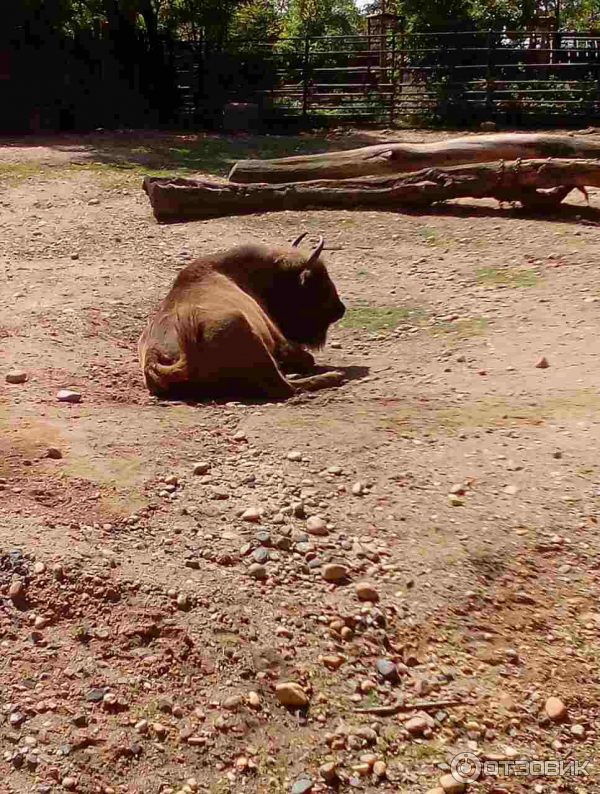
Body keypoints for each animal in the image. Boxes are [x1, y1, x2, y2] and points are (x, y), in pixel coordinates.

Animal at [139, 232, 346, 400]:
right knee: (287, 387)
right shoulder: (280, 340)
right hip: (243, 327)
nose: (340, 310)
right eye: (316, 281)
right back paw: (334, 376)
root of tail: (153, 358)